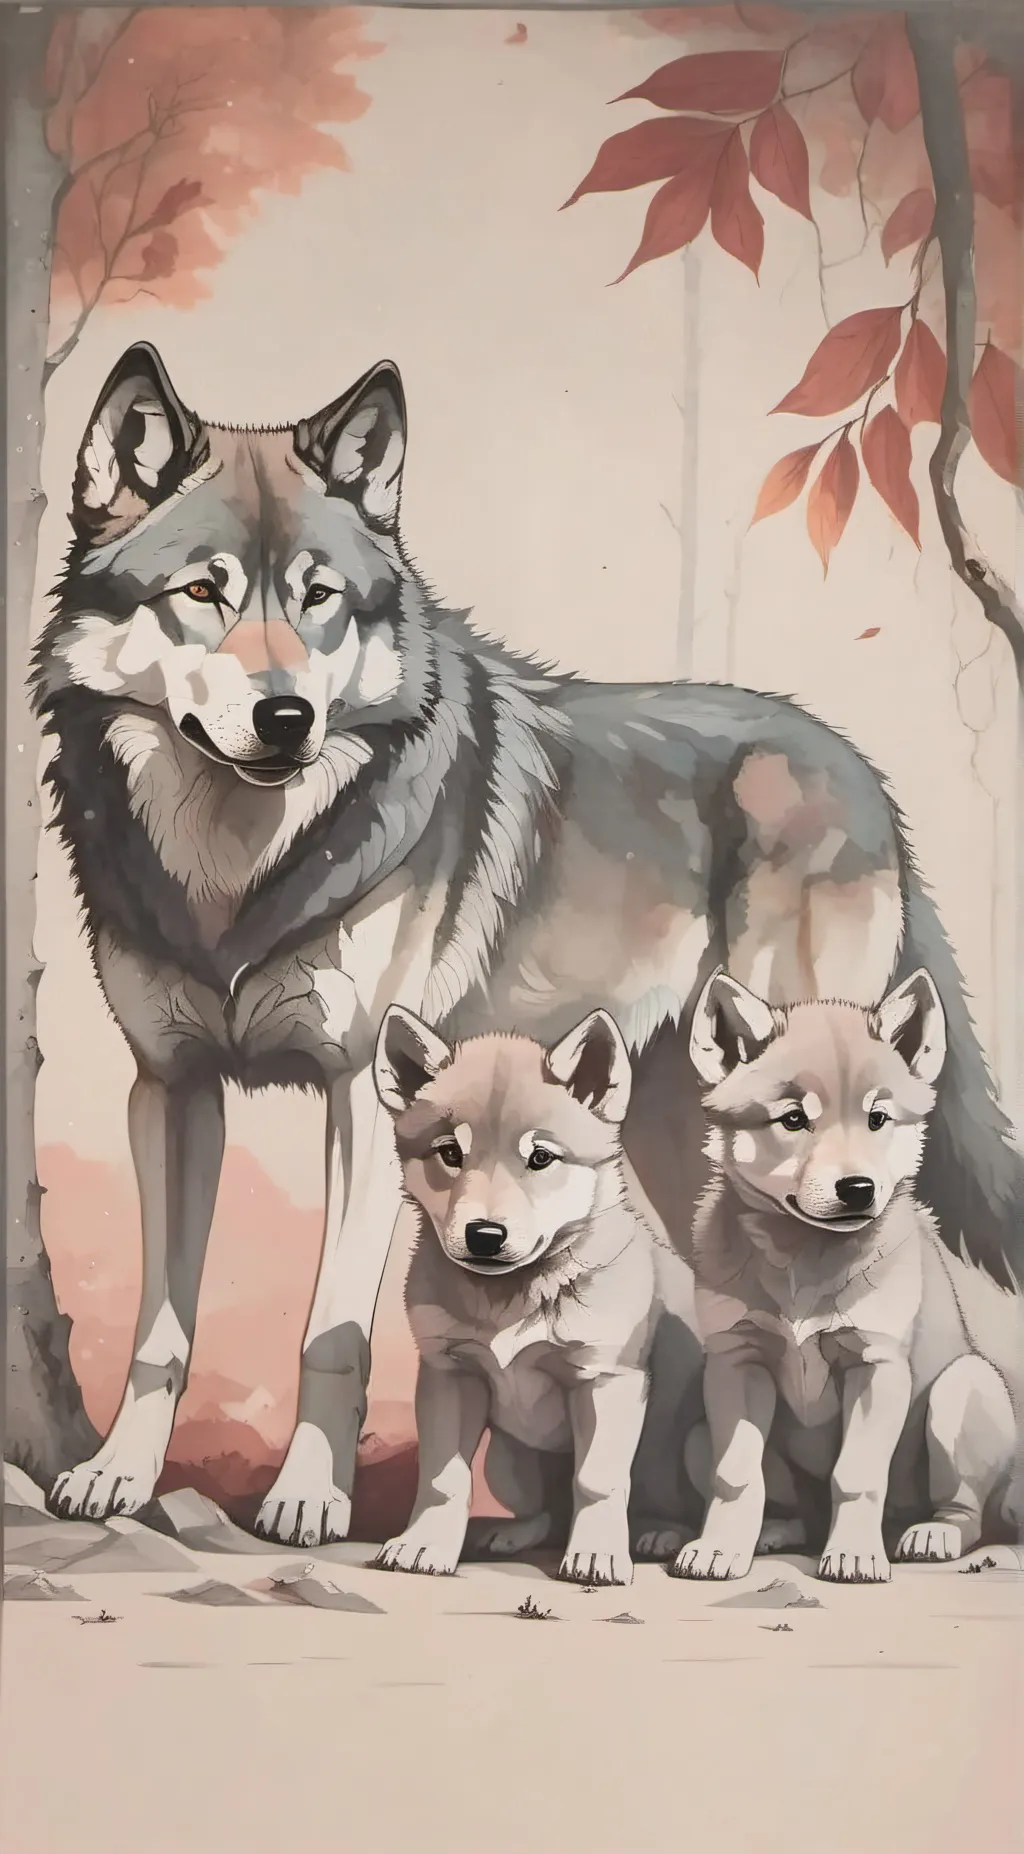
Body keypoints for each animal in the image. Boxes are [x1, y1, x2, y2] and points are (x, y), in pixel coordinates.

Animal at [371, 1005, 686, 1584]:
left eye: (541, 1158)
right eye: (450, 1153)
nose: (484, 1235)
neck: (512, 1298)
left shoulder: (607, 1379)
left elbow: (598, 1480)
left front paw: (597, 1556)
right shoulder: (450, 1374)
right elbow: (444, 1479)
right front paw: (426, 1546)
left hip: (668, 1453)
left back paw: (661, 1536)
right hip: (508, 1463)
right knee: (546, 1511)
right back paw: (515, 1533)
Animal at [676, 966, 1023, 1585]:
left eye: (877, 1119)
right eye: (794, 1120)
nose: (858, 1189)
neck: (802, 1257)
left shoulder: (875, 1363)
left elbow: (856, 1475)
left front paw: (855, 1556)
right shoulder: (737, 1360)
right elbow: (736, 1475)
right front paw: (720, 1548)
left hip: (963, 1387)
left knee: (965, 1511)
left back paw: (928, 1534)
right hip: (697, 1436)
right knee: (792, 1506)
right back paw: (776, 1533)